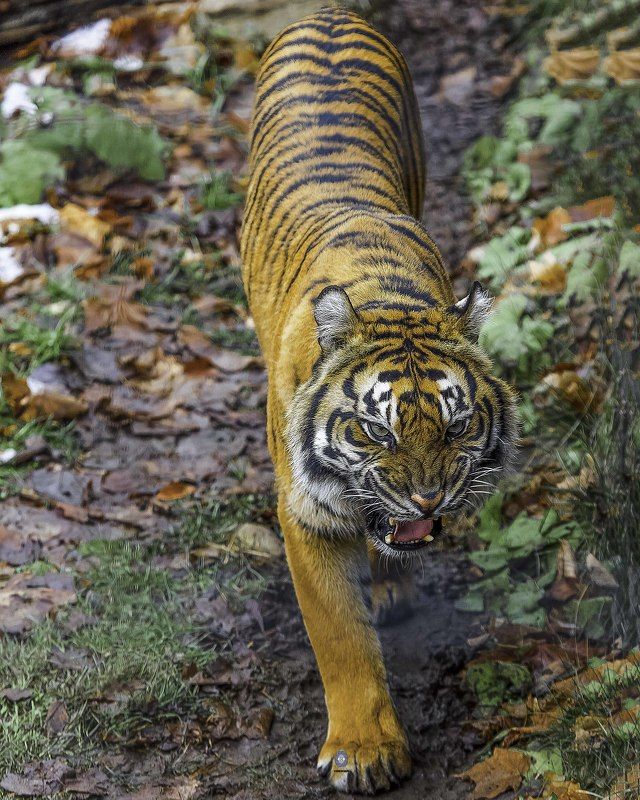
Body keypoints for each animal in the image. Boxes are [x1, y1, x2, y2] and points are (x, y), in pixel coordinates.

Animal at [240, 6, 518, 794]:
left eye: (457, 427)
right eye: (376, 431)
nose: (427, 501)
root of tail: (328, 14)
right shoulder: (305, 510)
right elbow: (338, 637)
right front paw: (364, 751)